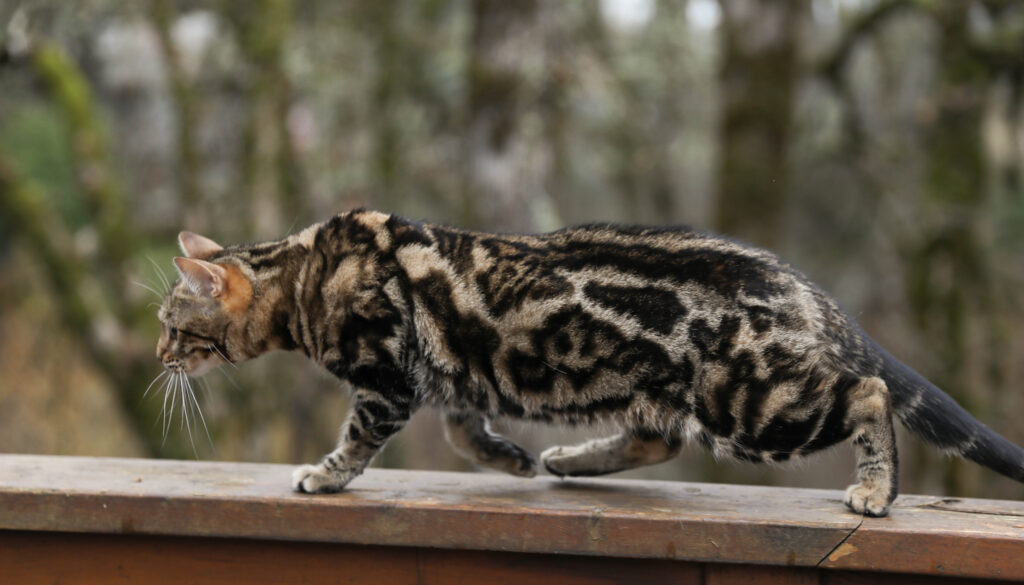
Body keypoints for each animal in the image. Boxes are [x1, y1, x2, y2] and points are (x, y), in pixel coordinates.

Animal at [153, 209, 1024, 516]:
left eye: (168, 321)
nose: (158, 354)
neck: (301, 272)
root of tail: (807, 288)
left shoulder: (387, 380)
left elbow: (359, 441)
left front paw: (324, 475)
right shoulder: (447, 376)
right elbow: (466, 430)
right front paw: (510, 459)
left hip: (750, 402)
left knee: (869, 390)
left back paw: (876, 489)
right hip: (675, 393)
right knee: (657, 437)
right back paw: (569, 459)